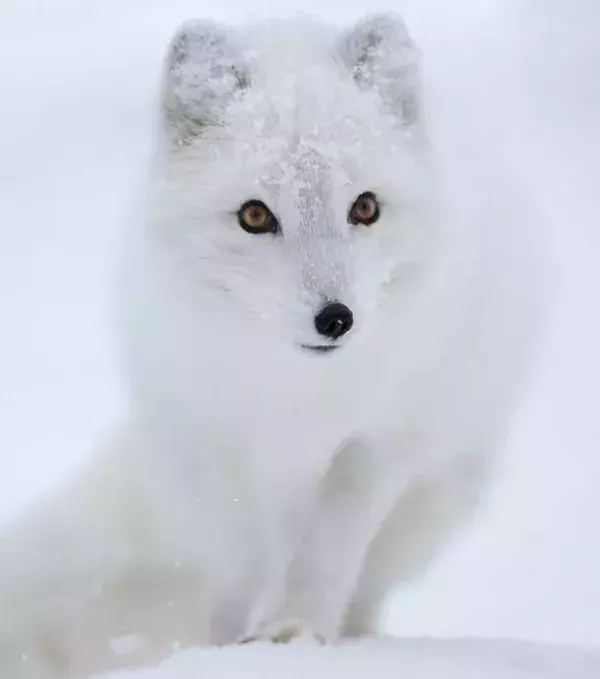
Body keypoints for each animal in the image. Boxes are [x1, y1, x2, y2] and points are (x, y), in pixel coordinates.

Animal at [0, 13, 543, 678]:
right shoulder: (211, 442)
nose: (336, 319)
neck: (297, 395)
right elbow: (239, 564)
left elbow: (328, 550)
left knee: (366, 589)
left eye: (366, 207)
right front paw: (226, 647)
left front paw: (296, 634)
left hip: (437, 496)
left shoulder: (381, 443)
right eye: (255, 216)